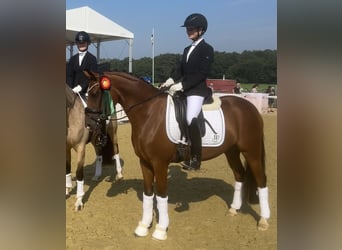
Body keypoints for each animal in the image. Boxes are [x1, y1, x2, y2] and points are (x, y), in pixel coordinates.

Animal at [65, 70, 123, 211]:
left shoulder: (80, 147)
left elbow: (79, 173)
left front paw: (79, 201)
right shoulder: (65, 147)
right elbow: (67, 168)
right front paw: (67, 190)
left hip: (112, 133)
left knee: (116, 150)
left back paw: (119, 175)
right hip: (95, 138)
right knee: (99, 155)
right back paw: (97, 175)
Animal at [93, 71, 270, 239]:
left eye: (95, 93)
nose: (93, 123)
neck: (149, 113)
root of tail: (250, 107)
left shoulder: (160, 163)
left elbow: (162, 195)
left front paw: (160, 230)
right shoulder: (145, 162)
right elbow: (148, 194)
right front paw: (143, 226)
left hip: (251, 152)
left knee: (261, 180)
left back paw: (263, 220)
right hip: (231, 151)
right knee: (239, 175)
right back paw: (234, 209)